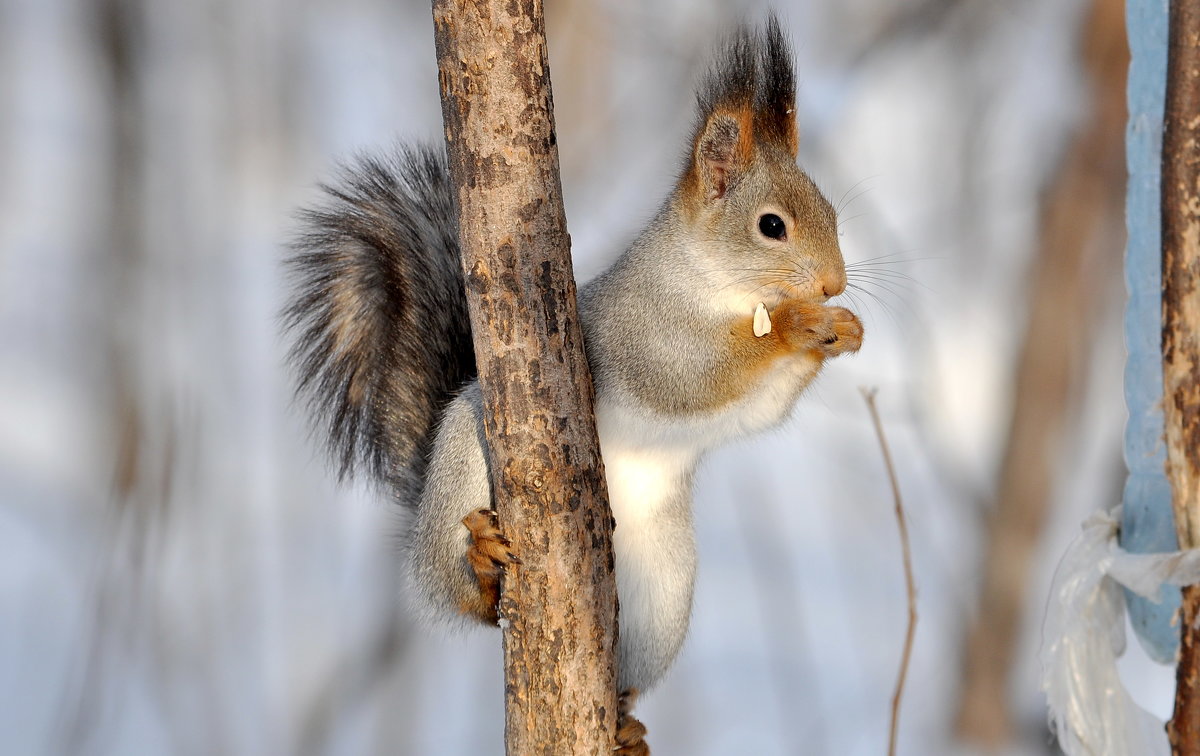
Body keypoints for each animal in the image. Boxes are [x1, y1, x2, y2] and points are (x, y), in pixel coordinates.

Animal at [282, 13, 864, 753]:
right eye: (771, 226)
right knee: (469, 603)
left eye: (833, 215)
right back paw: (481, 566)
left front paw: (844, 330)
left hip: (664, 600)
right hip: (464, 473)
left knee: (627, 677)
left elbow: (756, 408)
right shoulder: (640, 334)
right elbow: (691, 375)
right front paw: (799, 325)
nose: (834, 285)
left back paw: (625, 726)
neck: (718, 287)